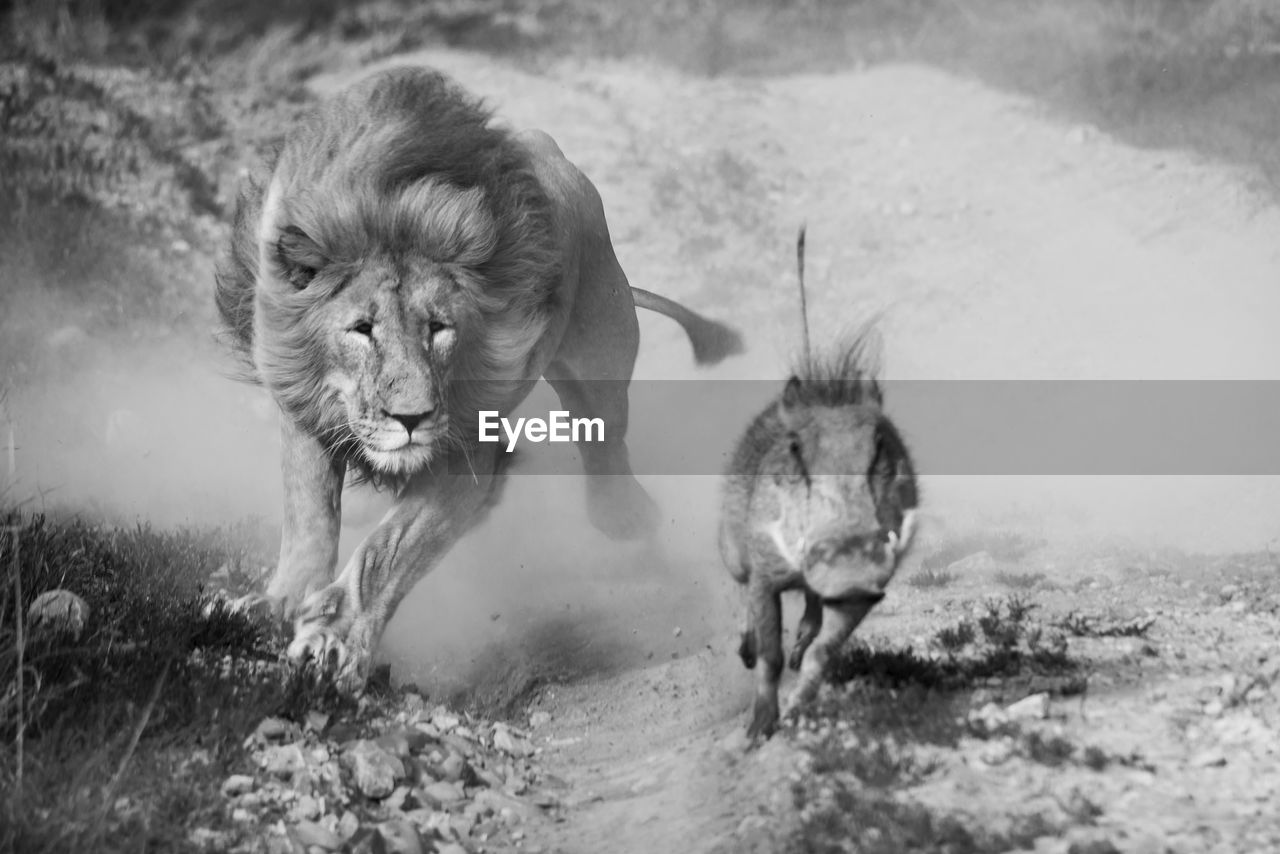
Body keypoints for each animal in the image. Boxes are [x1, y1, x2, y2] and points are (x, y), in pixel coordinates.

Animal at [216, 65, 747, 686]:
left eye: (439, 328)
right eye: (362, 329)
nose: (412, 419)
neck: (389, 204)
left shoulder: (465, 452)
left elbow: (388, 550)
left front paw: (334, 639)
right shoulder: (304, 403)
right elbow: (309, 517)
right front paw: (274, 605)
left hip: (600, 355)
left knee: (605, 437)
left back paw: (623, 515)